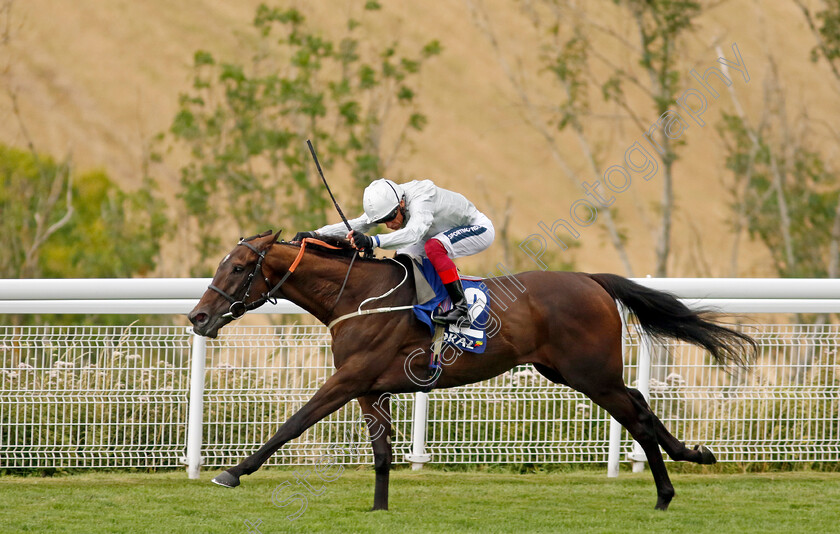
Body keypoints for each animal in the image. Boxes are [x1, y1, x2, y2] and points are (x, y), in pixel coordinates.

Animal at [189, 229, 756, 510]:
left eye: (237, 268)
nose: (198, 317)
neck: (357, 295)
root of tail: (591, 279)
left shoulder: (347, 379)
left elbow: (293, 423)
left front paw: (234, 471)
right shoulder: (370, 387)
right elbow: (381, 453)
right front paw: (379, 510)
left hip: (591, 373)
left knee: (635, 416)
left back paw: (664, 495)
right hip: (571, 373)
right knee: (639, 405)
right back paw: (692, 457)